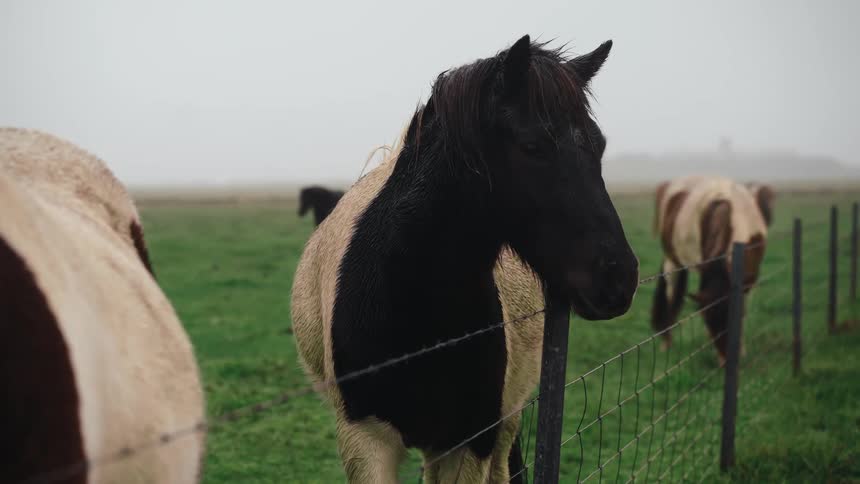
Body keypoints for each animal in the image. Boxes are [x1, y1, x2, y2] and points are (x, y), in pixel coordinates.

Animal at [651, 175, 771, 365]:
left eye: (733, 318)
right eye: (708, 321)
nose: (725, 361)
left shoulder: (748, 281)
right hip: (672, 261)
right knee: (670, 297)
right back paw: (666, 343)